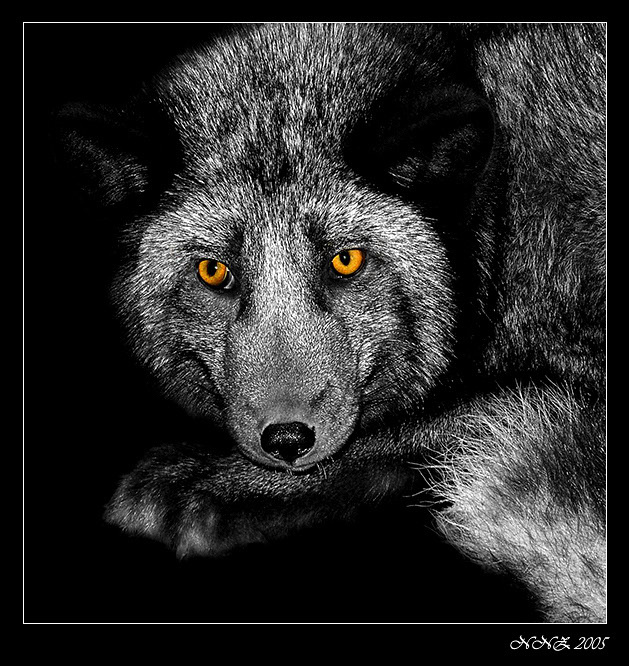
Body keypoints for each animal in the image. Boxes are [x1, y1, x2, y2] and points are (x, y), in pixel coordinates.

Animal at [53, 23, 606, 622]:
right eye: (214, 271)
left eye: (345, 261)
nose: (287, 439)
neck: (503, 229)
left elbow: (435, 421)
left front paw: (209, 486)